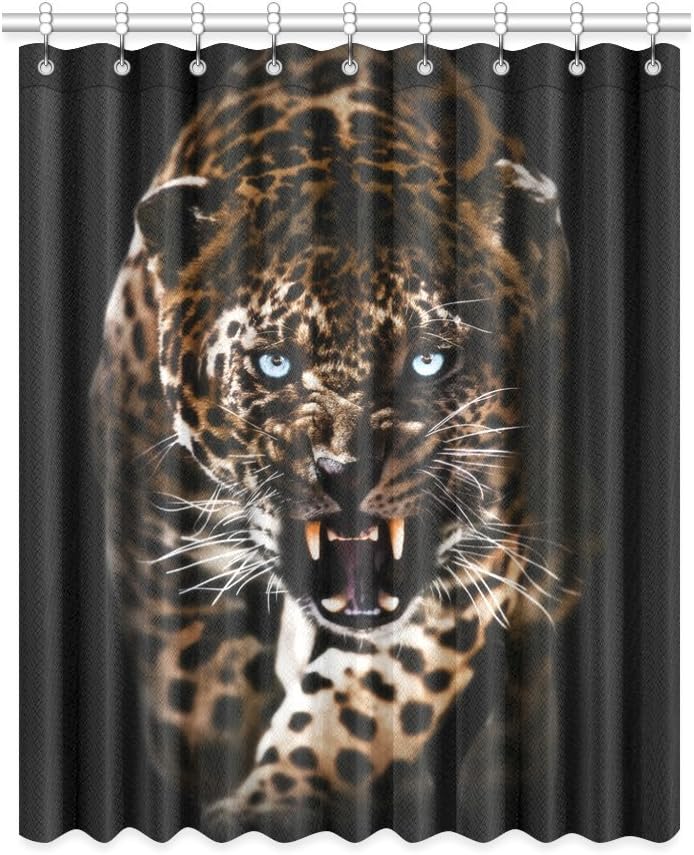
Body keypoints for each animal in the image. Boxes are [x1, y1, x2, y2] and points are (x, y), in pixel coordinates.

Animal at [90, 46, 575, 841]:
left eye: (430, 361)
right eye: (274, 364)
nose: (346, 471)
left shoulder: (476, 550)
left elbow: (364, 701)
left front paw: (277, 801)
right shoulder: (157, 538)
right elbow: (198, 686)